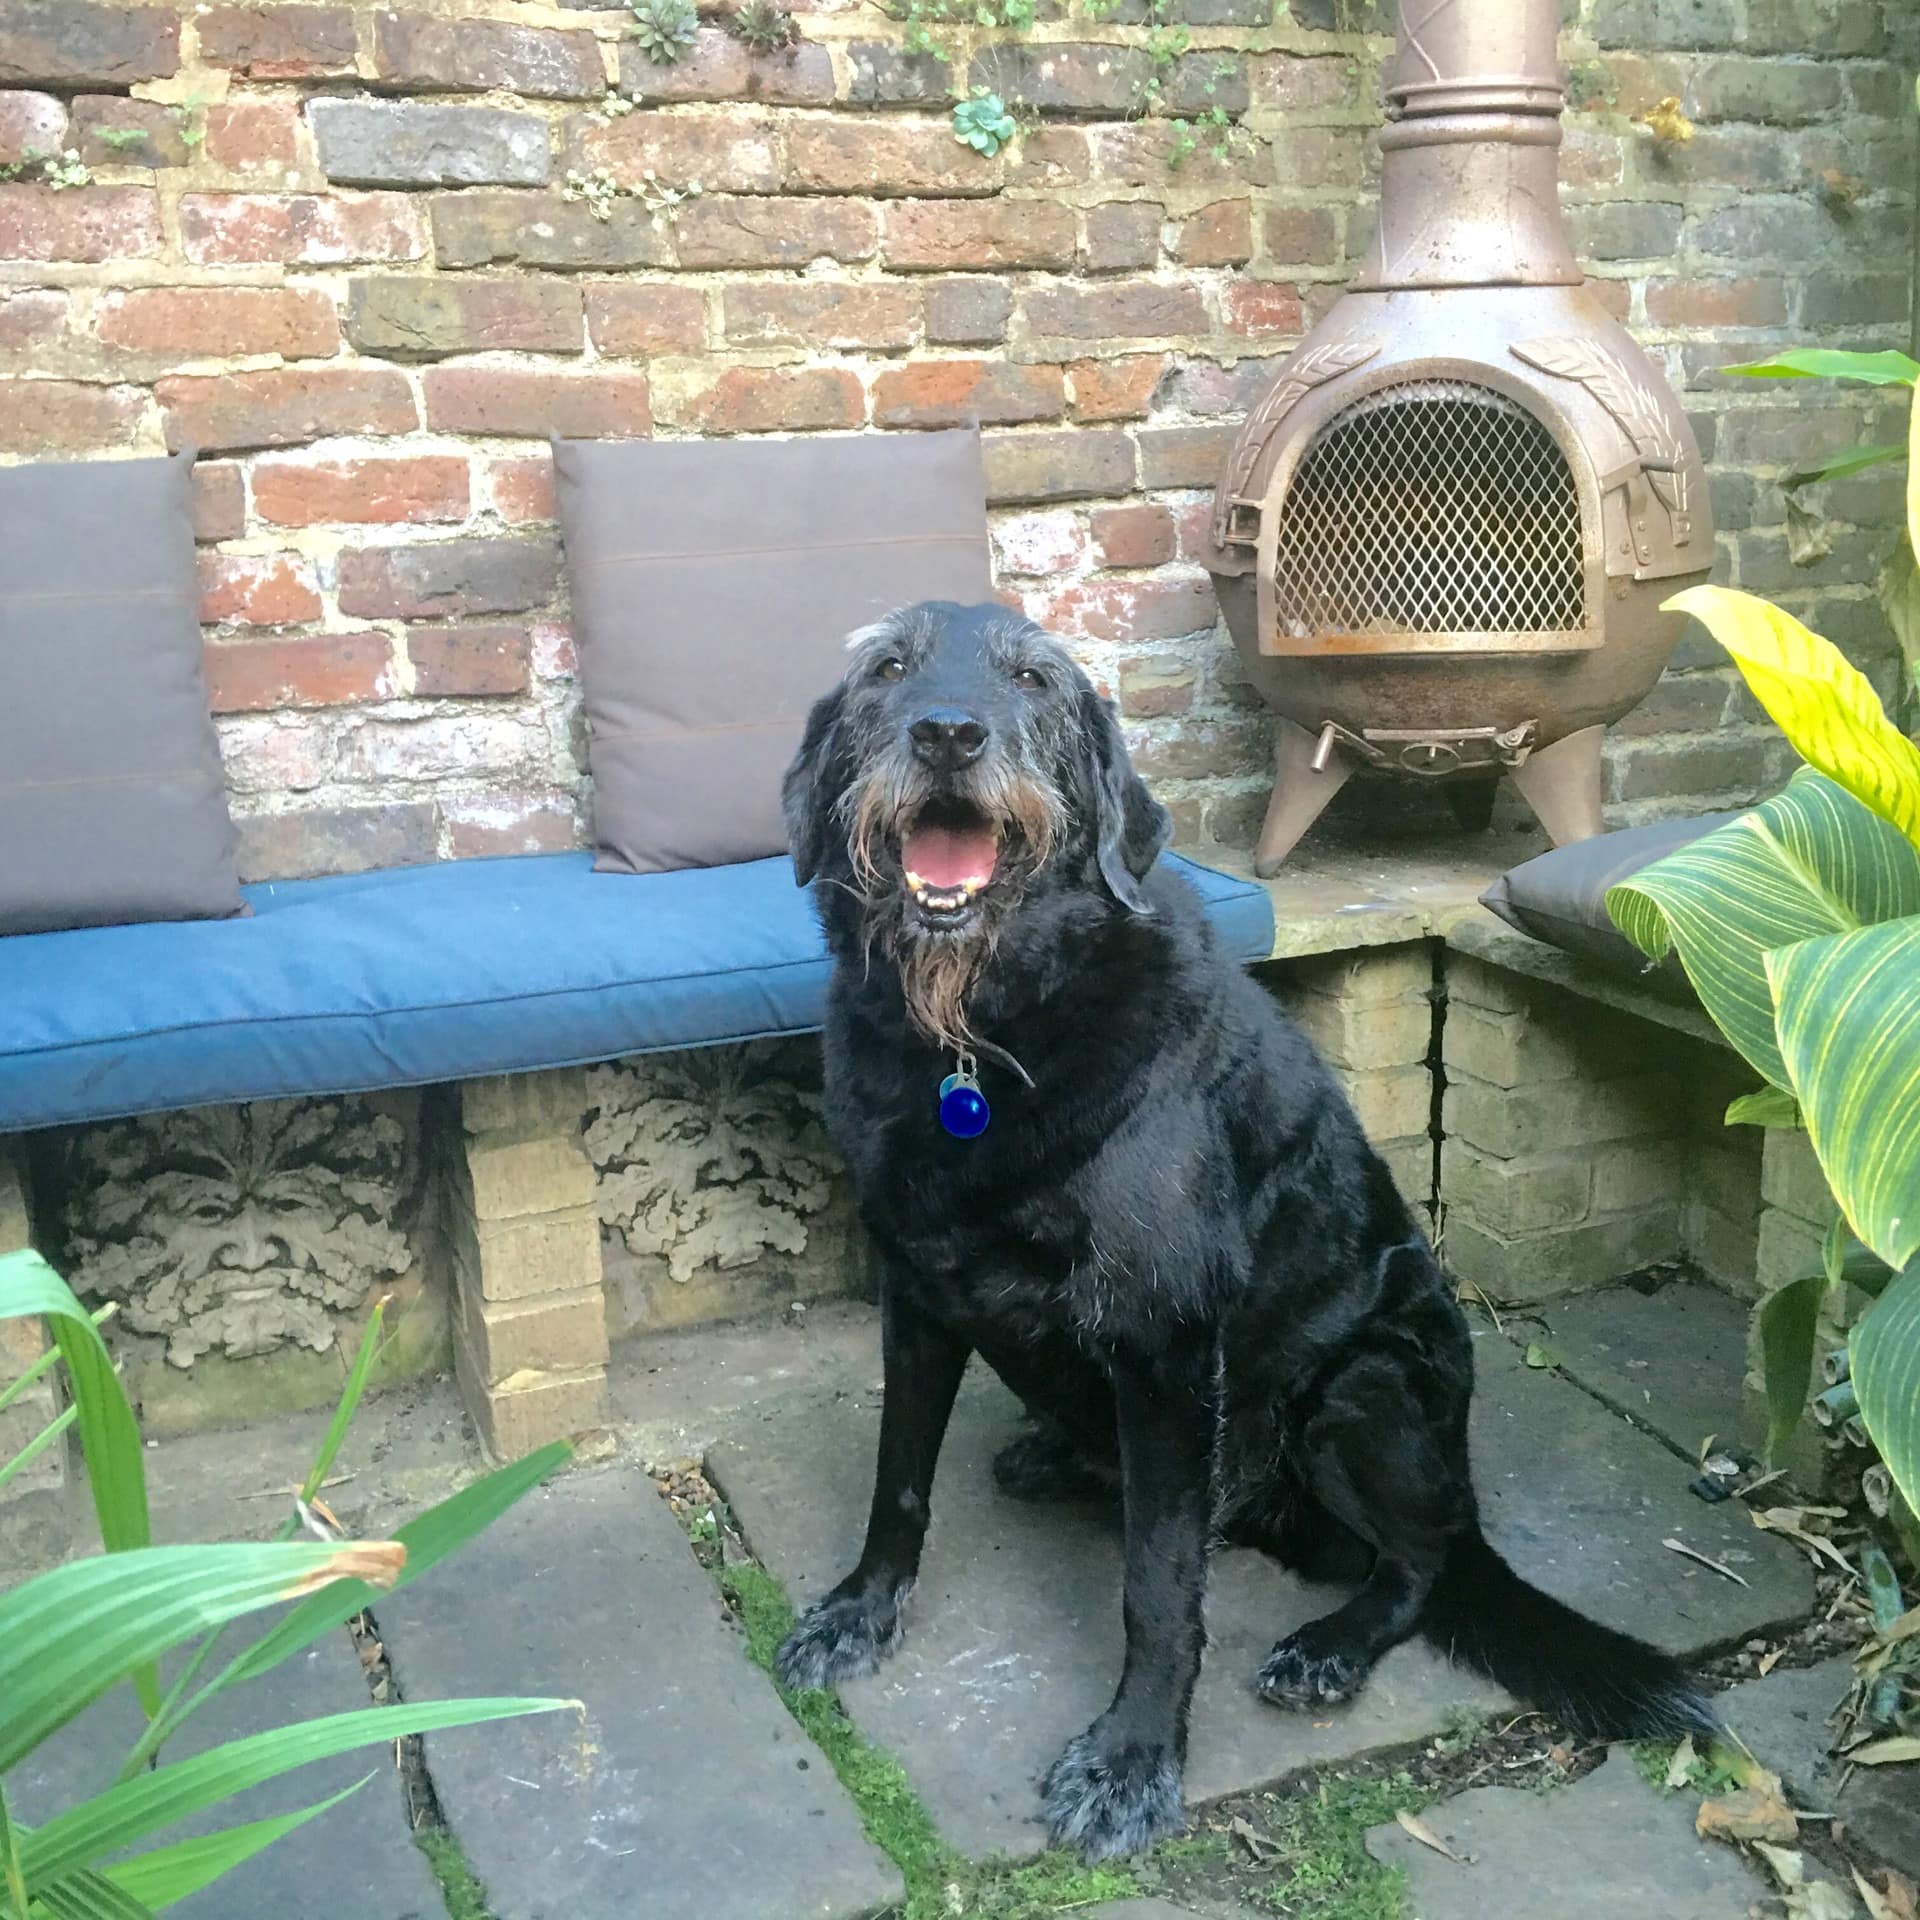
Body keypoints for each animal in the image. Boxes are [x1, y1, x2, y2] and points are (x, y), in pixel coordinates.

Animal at [771, 599, 1720, 1858]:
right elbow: (898, 1484)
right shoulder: (918, 1294)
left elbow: (1161, 1585)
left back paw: (1331, 1646)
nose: (947, 734)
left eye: (1033, 680)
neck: (980, 1038)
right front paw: (858, 1614)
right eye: (887, 668)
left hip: (1364, 1389)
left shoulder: (1166, 1349)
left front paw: (1133, 1762)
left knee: (1418, 1563)